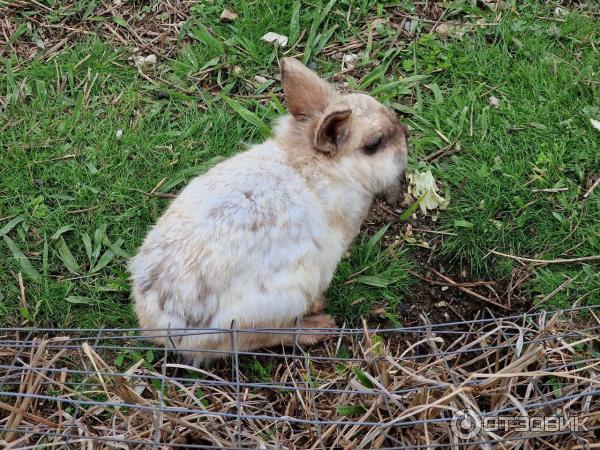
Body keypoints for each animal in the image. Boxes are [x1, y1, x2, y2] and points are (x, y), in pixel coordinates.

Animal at [129, 57, 410, 366]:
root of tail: (161, 325)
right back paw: (319, 325)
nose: (407, 137)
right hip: (282, 297)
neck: (317, 169)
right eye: (374, 145)